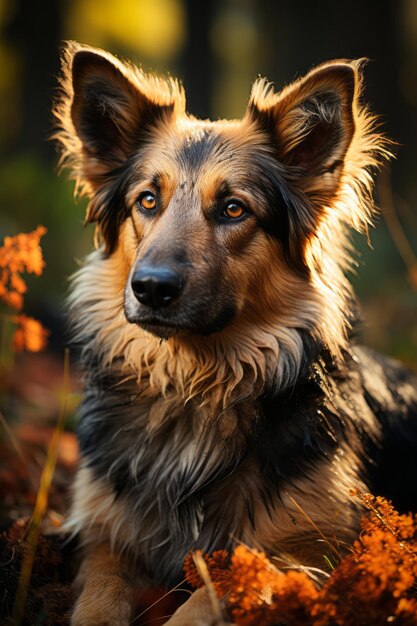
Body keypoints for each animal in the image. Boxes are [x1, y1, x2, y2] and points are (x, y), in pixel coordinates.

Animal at [53, 41, 416, 620]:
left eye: (232, 208)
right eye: (147, 201)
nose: (151, 288)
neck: (192, 381)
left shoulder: (304, 555)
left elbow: (210, 594)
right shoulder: (102, 535)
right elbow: (98, 597)